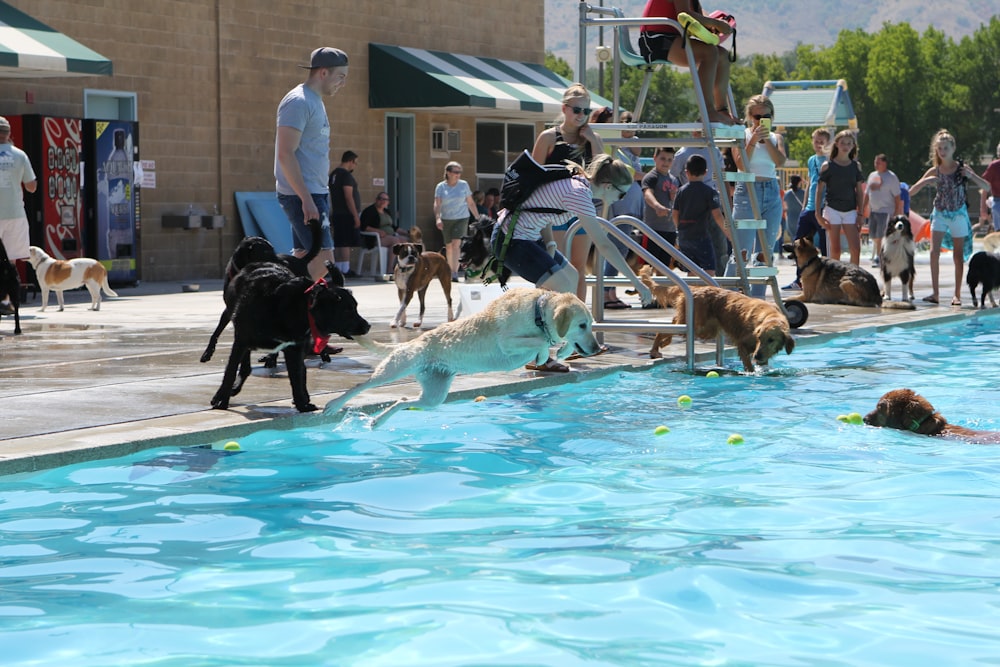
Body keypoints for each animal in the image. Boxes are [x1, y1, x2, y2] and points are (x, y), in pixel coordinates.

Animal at [211, 262, 372, 412]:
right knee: (244, 366)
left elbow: (297, 377)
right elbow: (230, 372)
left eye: (355, 308)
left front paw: (302, 404)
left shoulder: (294, 348)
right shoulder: (241, 340)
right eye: (347, 310)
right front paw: (221, 400)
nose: (368, 326)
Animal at [324, 288, 600, 428]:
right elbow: (541, 341)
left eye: (590, 324)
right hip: (396, 368)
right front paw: (546, 352)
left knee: (403, 400)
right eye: (582, 325)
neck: (537, 310)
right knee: (362, 385)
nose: (597, 347)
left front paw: (560, 351)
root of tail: (410, 342)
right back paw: (335, 405)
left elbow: (554, 340)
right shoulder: (507, 341)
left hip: (434, 394)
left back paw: (378, 422)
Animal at [640, 264, 796, 370]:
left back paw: (663, 344)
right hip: (697, 327)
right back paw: (655, 349)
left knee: (673, 324)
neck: (769, 315)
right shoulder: (742, 343)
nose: (757, 356)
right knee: (664, 330)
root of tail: (694, 288)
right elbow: (749, 366)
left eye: (771, 340)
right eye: (759, 338)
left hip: (705, 329)